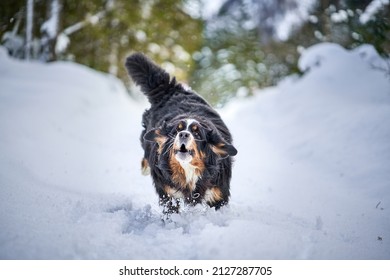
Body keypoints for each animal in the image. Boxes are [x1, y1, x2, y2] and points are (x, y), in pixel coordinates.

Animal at [125, 53, 238, 217]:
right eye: (176, 131)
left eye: (197, 133)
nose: (184, 134)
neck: (188, 172)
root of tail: (171, 90)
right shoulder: (168, 194)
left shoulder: (218, 194)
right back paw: (145, 168)